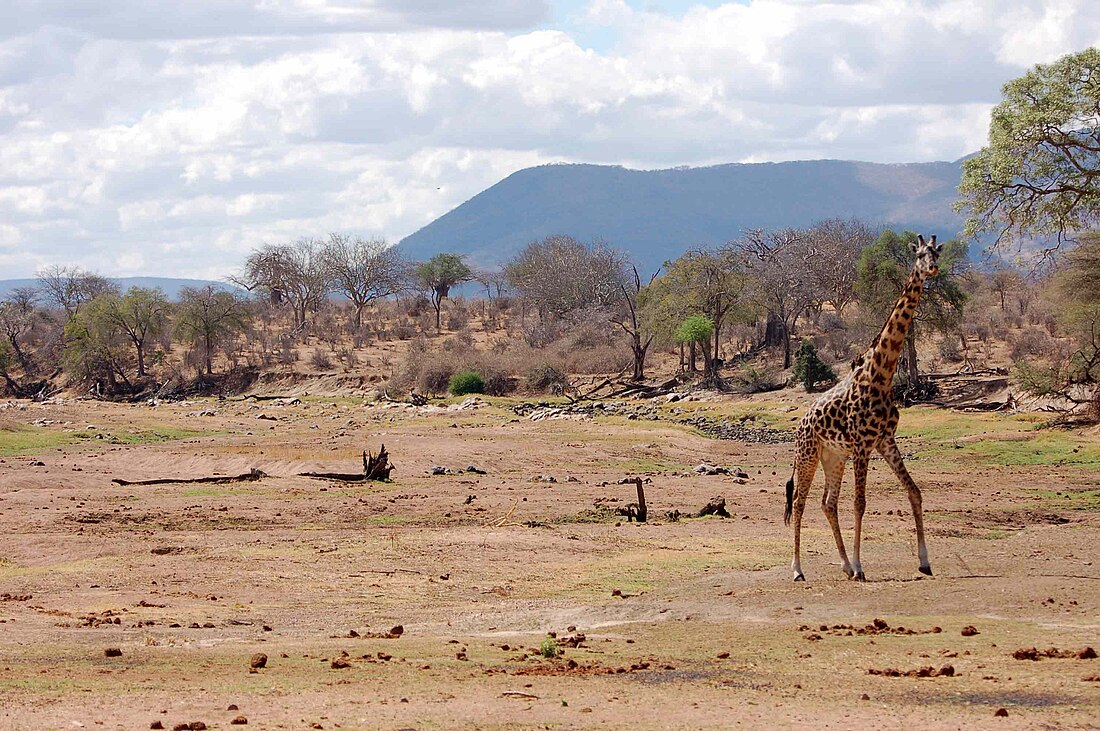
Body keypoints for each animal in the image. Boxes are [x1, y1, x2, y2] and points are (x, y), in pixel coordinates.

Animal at [783, 234, 946, 580]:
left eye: (936, 253)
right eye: (919, 255)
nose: (932, 268)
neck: (881, 376)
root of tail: (800, 423)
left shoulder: (885, 440)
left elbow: (914, 492)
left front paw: (924, 561)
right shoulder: (862, 444)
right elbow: (860, 503)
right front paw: (860, 567)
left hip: (833, 457)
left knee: (827, 502)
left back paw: (843, 564)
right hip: (808, 455)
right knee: (801, 502)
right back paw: (799, 569)